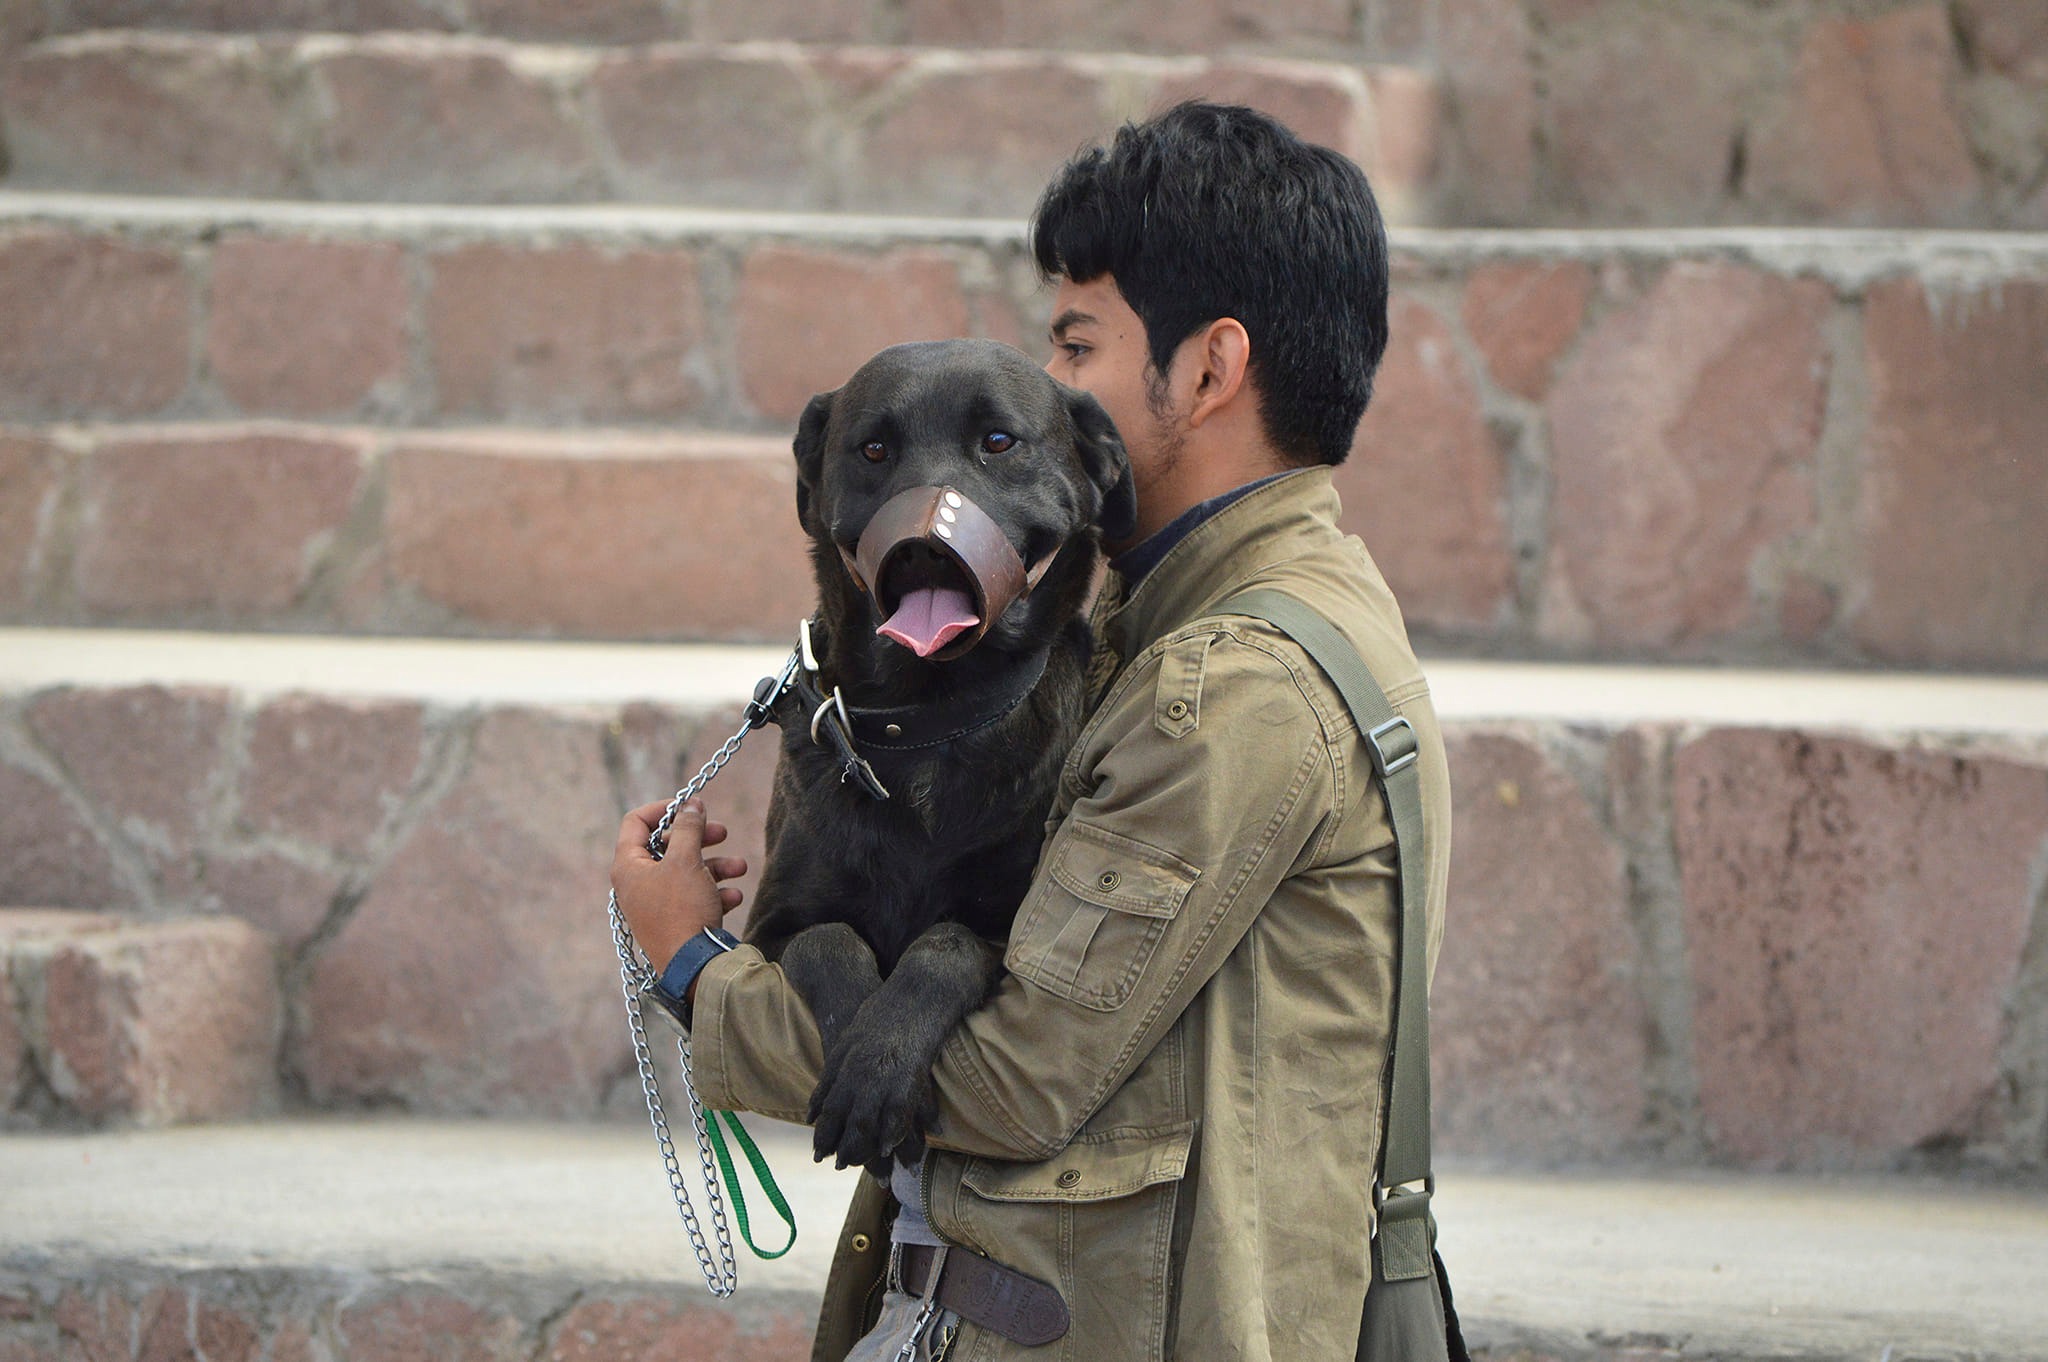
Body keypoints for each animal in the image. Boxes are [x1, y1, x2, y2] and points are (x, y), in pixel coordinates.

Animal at [741, 337, 1130, 1171]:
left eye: (999, 442)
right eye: (873, 450)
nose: (923, 547)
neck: (928, 719)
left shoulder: (1014, 933)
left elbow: (944, 945)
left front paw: (879, 1065)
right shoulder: (767, 929)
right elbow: (830, 940)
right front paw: (857, 1051)